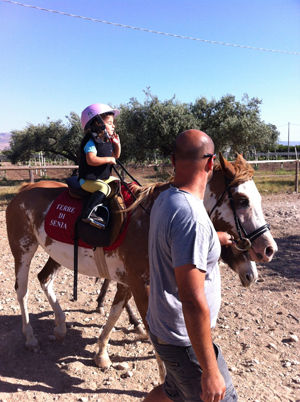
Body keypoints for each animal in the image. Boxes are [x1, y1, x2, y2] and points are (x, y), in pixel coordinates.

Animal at [5, 152, 276, 378]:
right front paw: (165, 378)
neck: (156, 219)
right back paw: (30, 338)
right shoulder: (138, 283)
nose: (268, 249)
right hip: (23, 248)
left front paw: (101, 354)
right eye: (242, 200)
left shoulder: (131, 280)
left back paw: (61, 326)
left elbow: (115, 313)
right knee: (22, 290)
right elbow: (149, 329)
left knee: (45, 278)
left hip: (57, 254)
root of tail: (26, 188)